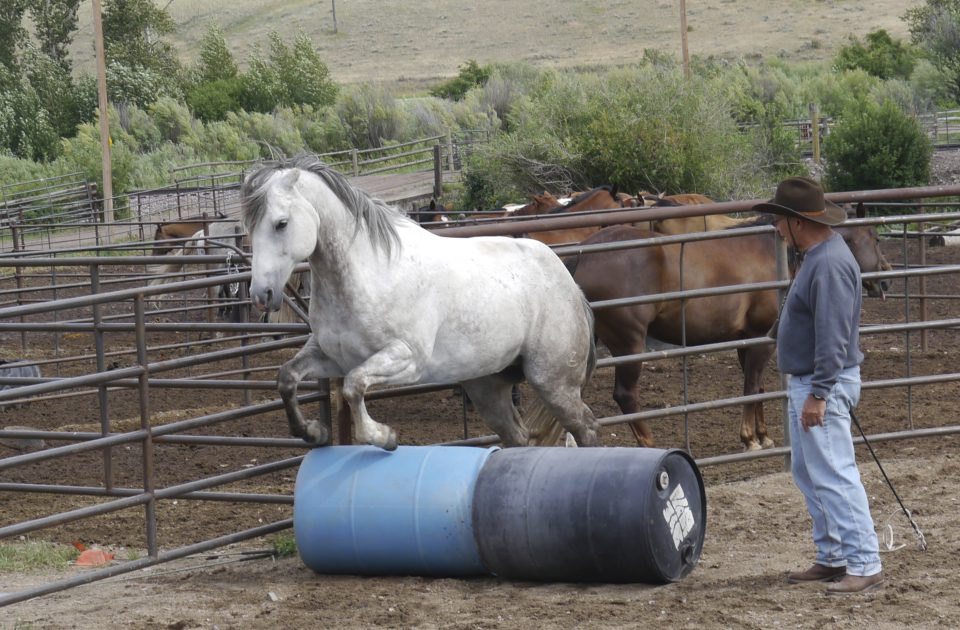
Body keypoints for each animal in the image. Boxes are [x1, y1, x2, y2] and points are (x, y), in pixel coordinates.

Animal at [244, 156, 596, 452]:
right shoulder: (332, 357)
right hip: (487, 387)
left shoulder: (407, 359)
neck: (371, 273)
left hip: (552, 381)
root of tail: (570, 284)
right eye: (250, 229)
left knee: (586, 427)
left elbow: (354, 386)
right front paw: (313, 432)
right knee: (518, 436)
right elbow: (287, 378)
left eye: (281, 223)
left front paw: (384, 436)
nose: (262, 294)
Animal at [568, 210, 892, 452]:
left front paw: (762, 435)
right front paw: (749, 438)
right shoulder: (761, 338)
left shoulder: (745, 340)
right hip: (629, 345)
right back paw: (649, 445)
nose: (886, 280)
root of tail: (583, 256)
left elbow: (757, 387)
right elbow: (750, 386)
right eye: (875, 238)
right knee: (625, 395)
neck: (772, 252)